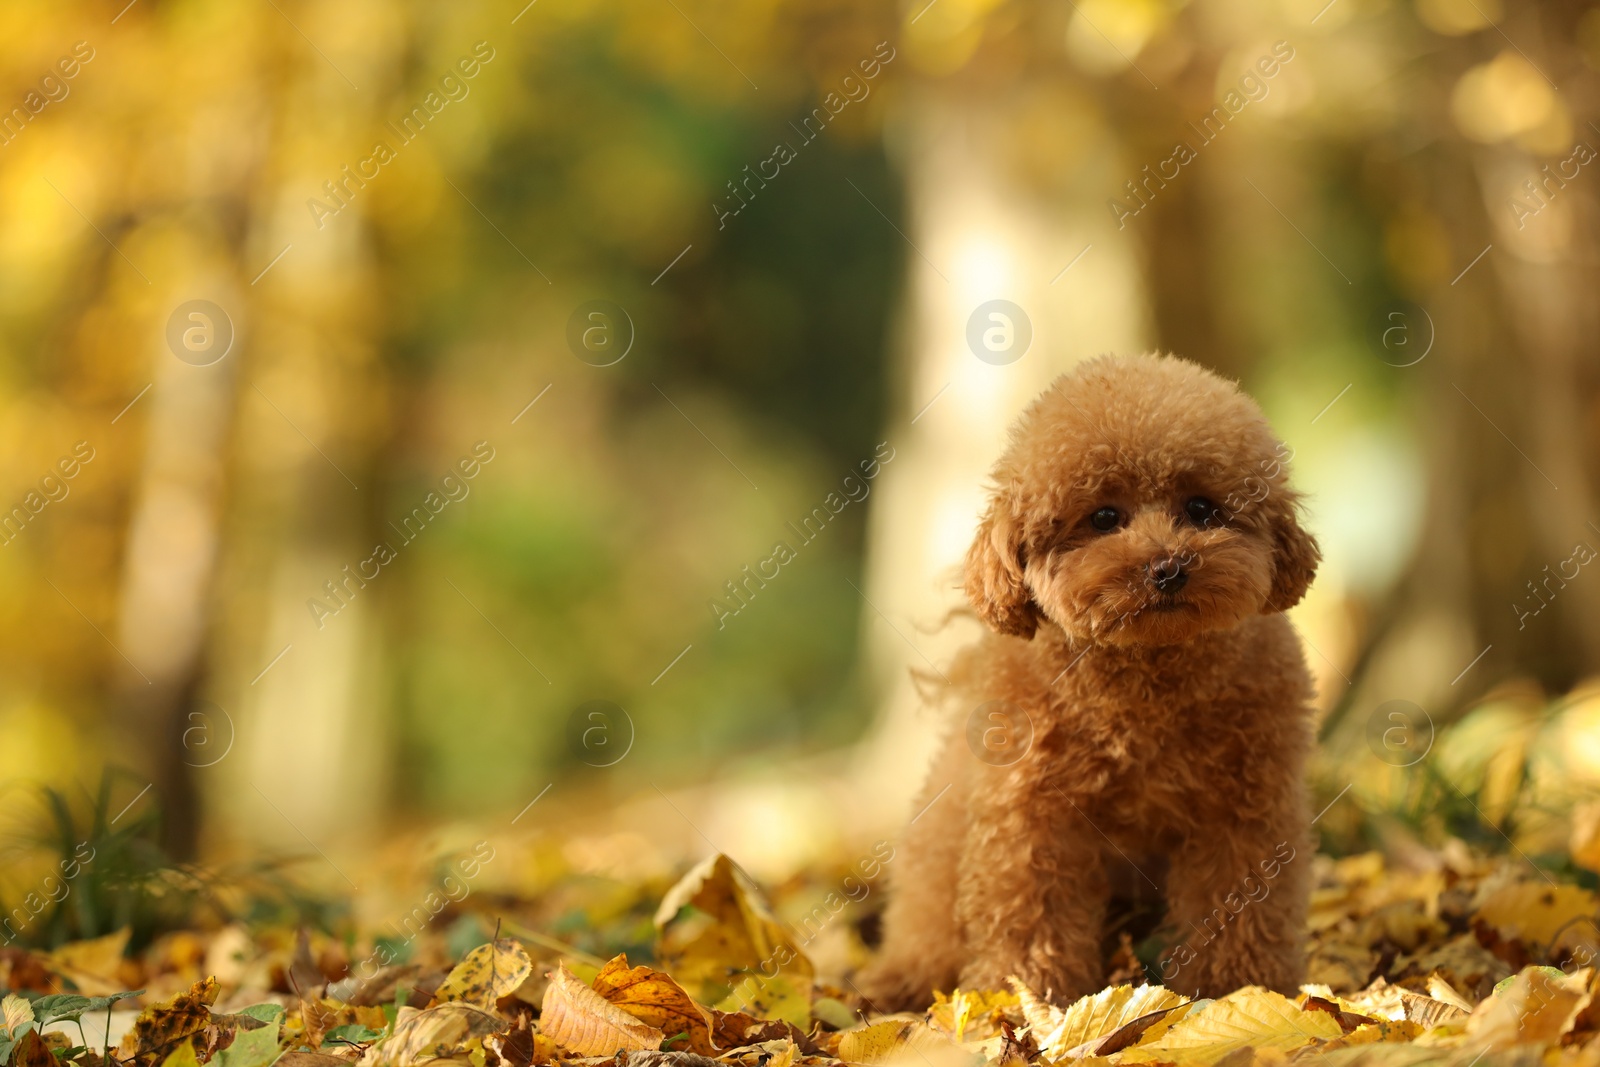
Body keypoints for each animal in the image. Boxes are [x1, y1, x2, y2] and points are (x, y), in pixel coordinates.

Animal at [870, 351, 1318, 1011]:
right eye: (1104, 517)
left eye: (1201, 509)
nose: (1167, 568)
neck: (1145, 680)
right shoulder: (1033, 816)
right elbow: (1032, 910)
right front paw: (1031, 999)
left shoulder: (1244, 808)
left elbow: (1237, 900)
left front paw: (1235, 990)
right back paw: (903, 980)